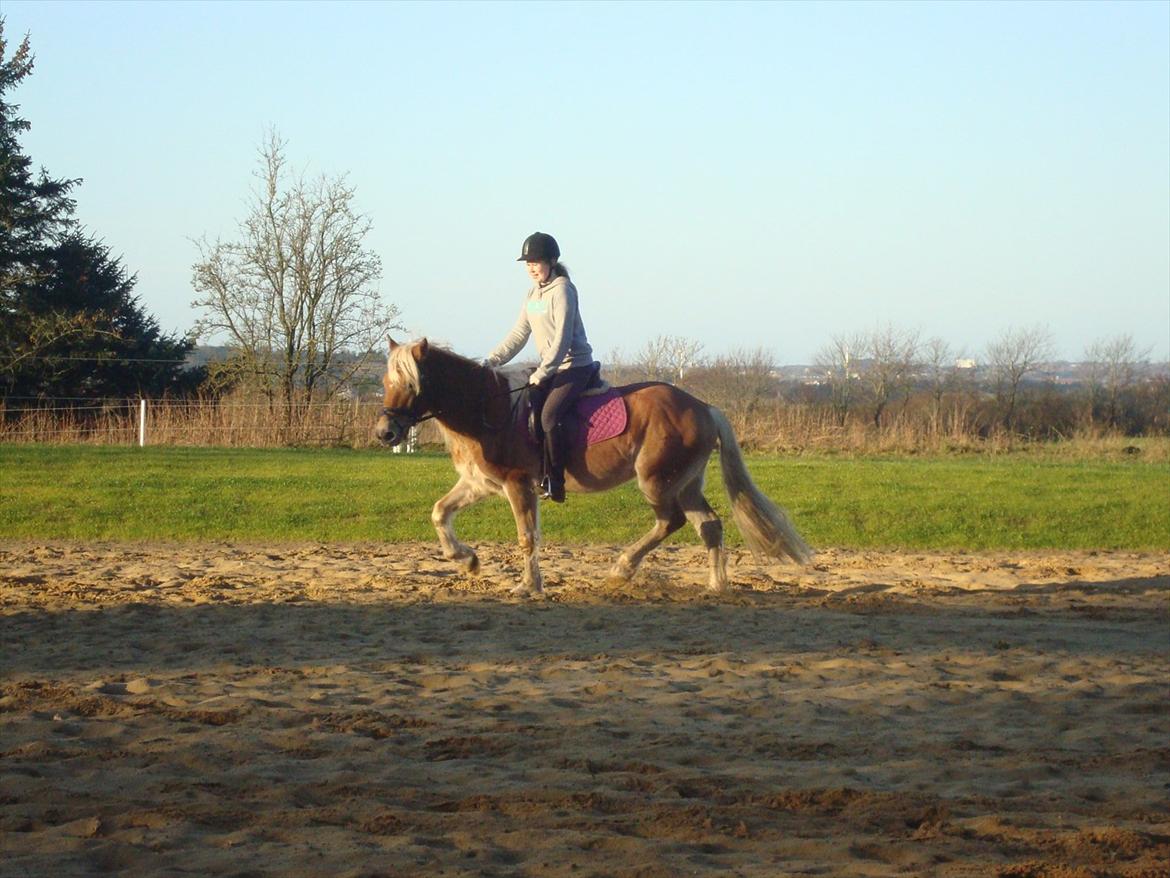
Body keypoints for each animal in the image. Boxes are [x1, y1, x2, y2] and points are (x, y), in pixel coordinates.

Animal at [369, 339, 809, 594]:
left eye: (411, 384)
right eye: (386, 382)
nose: (385, 433)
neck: (490, 409)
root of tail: (703, 407)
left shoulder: (518, 484)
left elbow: (527, 537)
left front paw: (528, 586)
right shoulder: (481, 483)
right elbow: (439, 513)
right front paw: (468, 560)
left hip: (656, 481)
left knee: (671, 521)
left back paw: (622, 570)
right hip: (685, 482)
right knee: (709, 524)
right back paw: (716, 587)